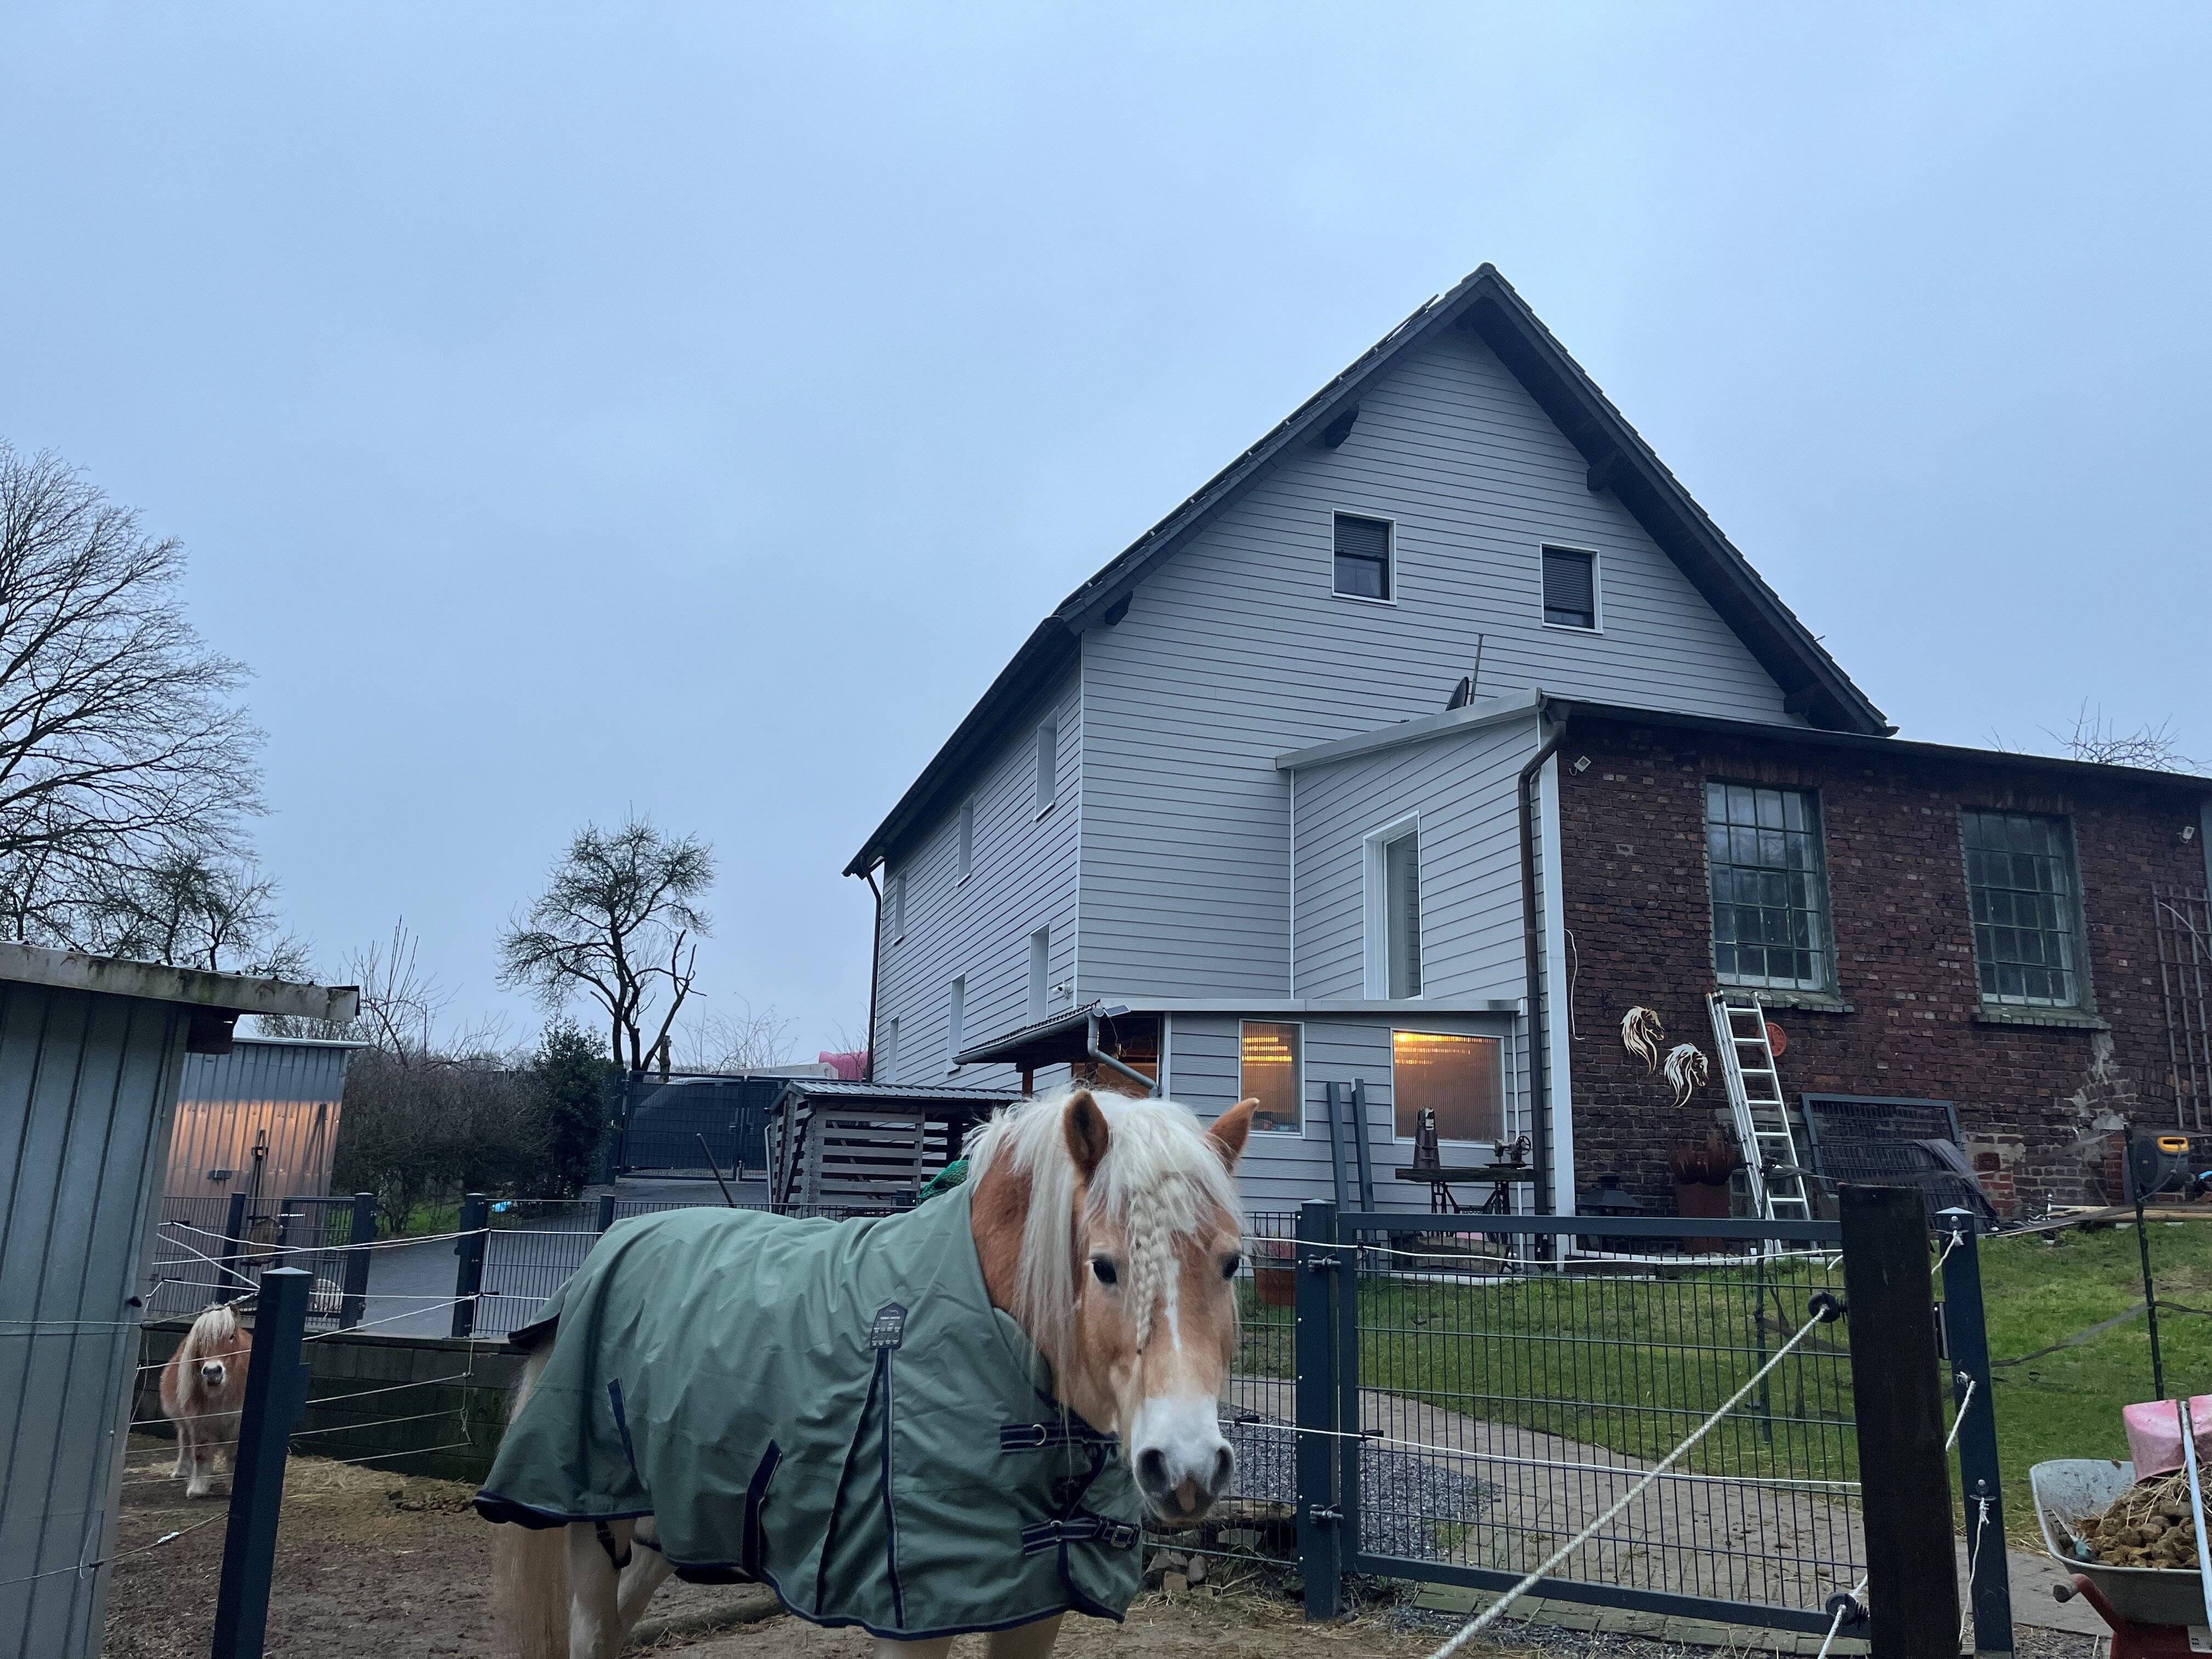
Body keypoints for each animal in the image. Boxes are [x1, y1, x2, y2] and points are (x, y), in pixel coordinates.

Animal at [158, 1309, 253, 1504]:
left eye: (231, 1336)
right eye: (201, 1340)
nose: (212, 1372)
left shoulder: (236, 1425)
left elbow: (234, 1456)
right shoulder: (200, 1423)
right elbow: (200, 1455)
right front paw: (197, 1489)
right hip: (184, 1423)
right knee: (185, 1443)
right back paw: (181, 1472)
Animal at [475, 1092, 1256, 1659]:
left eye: (1230, 1263)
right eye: (1103, 1267)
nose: (1186, 1466)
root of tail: (613, 1244)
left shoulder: (1036, 1609)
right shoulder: (911, 1619)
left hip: (666, 1528)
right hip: (591, 1524)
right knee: (592, 1636)